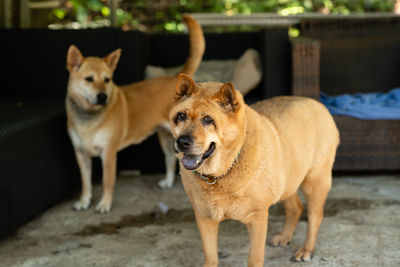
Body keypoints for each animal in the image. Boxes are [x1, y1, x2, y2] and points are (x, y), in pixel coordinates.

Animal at [65, 16, 205, 214]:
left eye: (107, 80)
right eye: (88, 79)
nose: (102, 96)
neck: (89, 117)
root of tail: (174, 78)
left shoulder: (108, 154)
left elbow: (107, 182)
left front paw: (104, 204)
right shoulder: (80, 154)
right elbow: (85, 183)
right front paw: (84, 201)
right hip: (165, 138)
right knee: (171, 159)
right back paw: (168, 181)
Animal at [169, 74, 340, 267]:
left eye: (208, 120)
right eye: (181, 116)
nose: (182, 142)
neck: (220, 173)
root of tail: (317, 104)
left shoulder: (257, 218)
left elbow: (254, 258)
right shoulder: (204, 218)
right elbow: (211, 257)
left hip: (314, 182)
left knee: (315, 216)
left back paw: (306, 250)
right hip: (286, 180)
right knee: (295, 207)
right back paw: (284, 237)